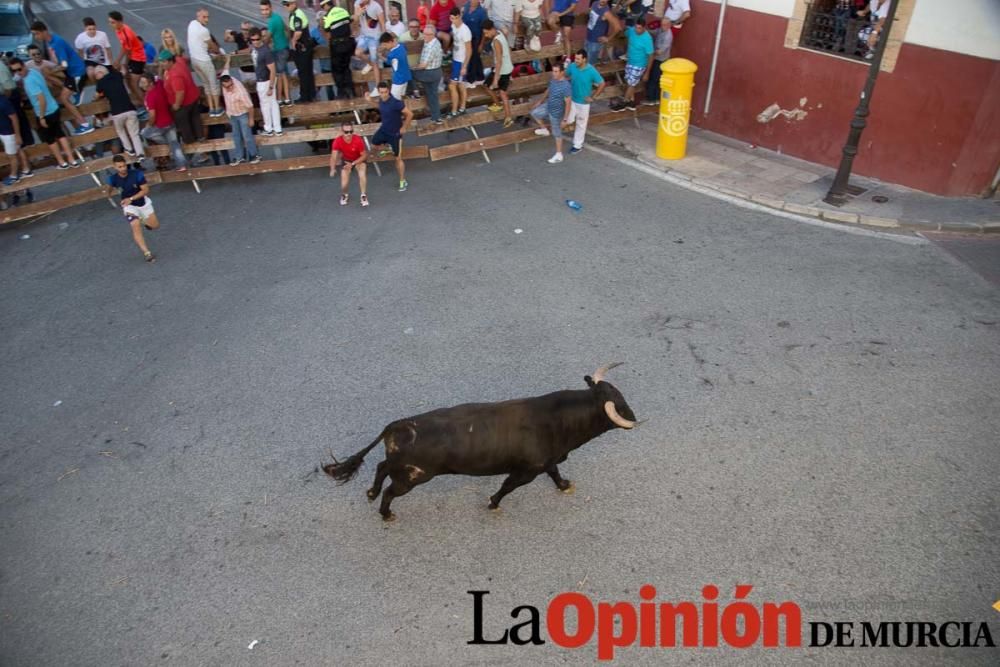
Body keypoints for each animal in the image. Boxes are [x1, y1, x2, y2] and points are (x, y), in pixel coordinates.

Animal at [324, 360, 644, 520]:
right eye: (620, 404)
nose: (634, 416)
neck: (558, 418)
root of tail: (396, 426)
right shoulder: (526, 471)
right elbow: (507, 487)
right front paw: (493, 504)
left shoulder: (545, 462)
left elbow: (555, 473)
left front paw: (565, 485)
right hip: (412, 478)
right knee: (391, 490)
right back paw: (386, 513)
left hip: (400, 468)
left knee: (380, 467)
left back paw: (370, 493)